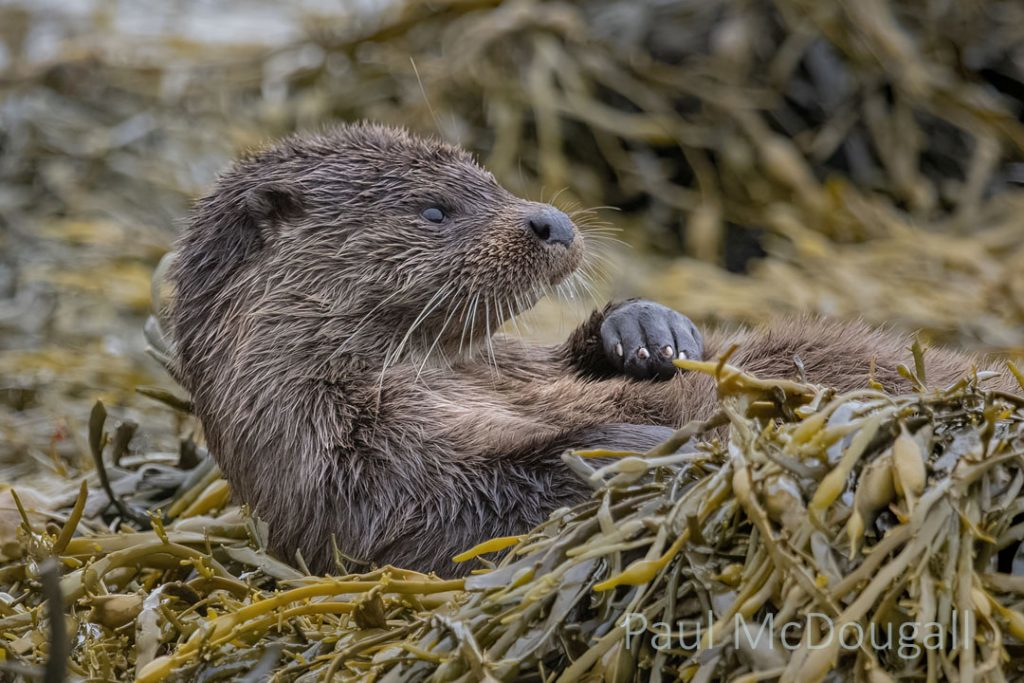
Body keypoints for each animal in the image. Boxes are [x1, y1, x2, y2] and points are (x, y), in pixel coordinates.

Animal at [167, 123, 1012, 576]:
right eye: (434, 210)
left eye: (490, 176)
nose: (551, 220)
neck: (439, 382)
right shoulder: (355, 483)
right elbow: (484, 500)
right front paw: (640, 445)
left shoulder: (508, 365)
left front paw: (645, 330)